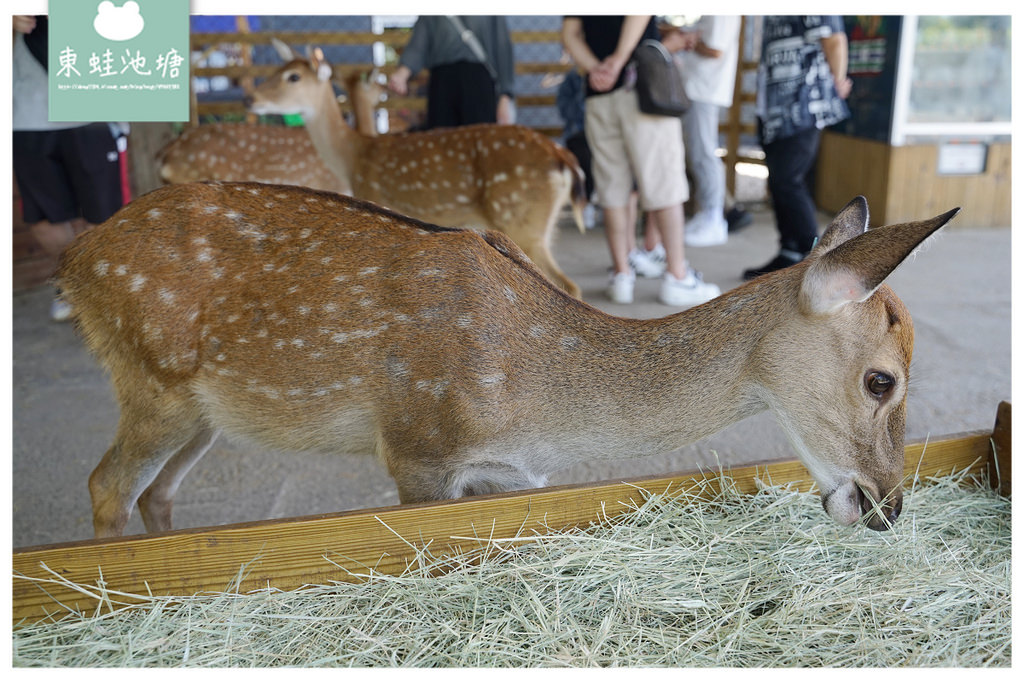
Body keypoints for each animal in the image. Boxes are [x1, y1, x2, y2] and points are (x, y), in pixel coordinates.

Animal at [58, 183, 958, 540]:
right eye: (881, 378)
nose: (887, 505)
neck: (540, 404)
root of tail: (77, 261)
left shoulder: (494, 471)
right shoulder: (416, 445)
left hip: (204, 411)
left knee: (158, 492)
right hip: (151, 382)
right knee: (106, 482)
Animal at [243, 44, 589, 296]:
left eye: (293, 77)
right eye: (279, 69)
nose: (251, 98)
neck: (355, 155)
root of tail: (563, 158)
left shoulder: (376, 198)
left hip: (521, 218)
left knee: (567, 284)